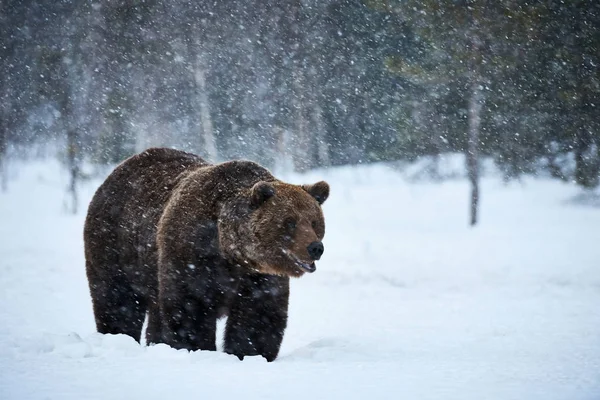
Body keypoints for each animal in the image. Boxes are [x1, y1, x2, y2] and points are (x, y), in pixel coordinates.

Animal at [83, 148, 328, 360]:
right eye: (289, 222)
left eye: (314, 222)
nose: (315, 247)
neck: (229, 252)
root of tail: (120, 169)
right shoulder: (190, 255)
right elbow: (191, 307)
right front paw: (198, 347)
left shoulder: (259, 277)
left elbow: (258, 315)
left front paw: (248, 353)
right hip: (115, 245)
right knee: (116, 298)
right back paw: (117, 335)